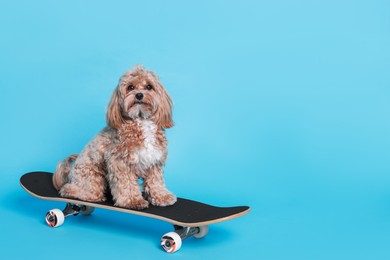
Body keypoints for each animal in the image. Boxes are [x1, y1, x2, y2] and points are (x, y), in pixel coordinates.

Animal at [53, 65, 177, 209]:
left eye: (149, 87)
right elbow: (126, 184)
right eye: (130, 87)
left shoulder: (155, 161)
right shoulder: (120, 161)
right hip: (92, 177)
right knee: (71, 189)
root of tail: (69, 175)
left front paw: (162, 197)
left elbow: (156, 182)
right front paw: (133, 201)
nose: (139, 95)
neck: (141, 120)